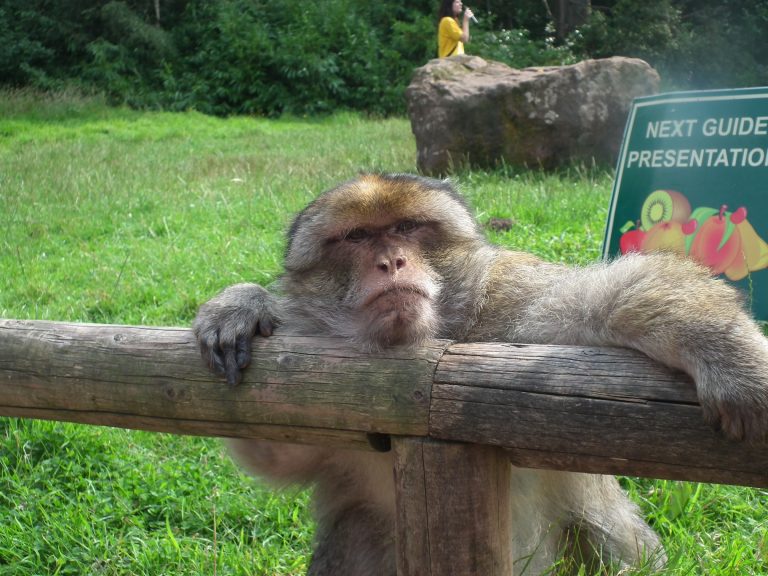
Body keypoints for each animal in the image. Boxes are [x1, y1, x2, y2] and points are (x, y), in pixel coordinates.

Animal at [194, 172, 768, 576]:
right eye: (356, 237)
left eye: (406, 228)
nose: (391, 262)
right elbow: (275, 451)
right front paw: (244, 304)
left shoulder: (510, 301)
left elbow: (603, 298)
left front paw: (730, 354)